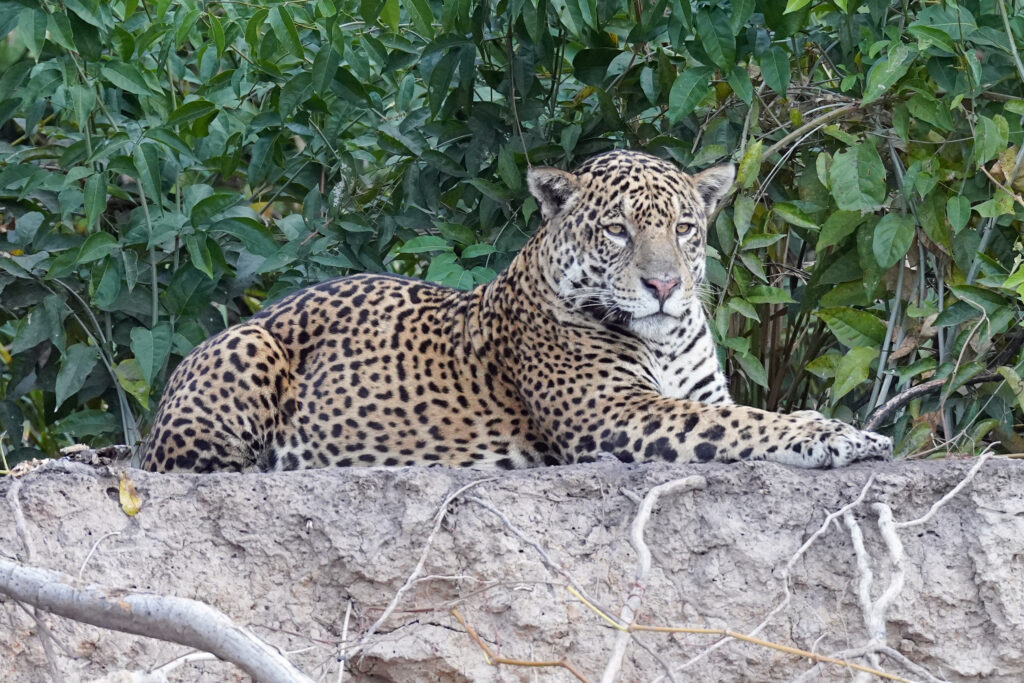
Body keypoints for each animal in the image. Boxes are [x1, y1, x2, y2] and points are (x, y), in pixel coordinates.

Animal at [139, 149, 891, 473]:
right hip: (245, 349)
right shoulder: (615, 414)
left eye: (684, 228)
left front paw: (844, 431)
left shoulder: (694, 391)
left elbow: (742, 413)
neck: (665, 340)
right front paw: (837, 436)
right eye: (616, 230)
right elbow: (744, 425)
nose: (663, 286)